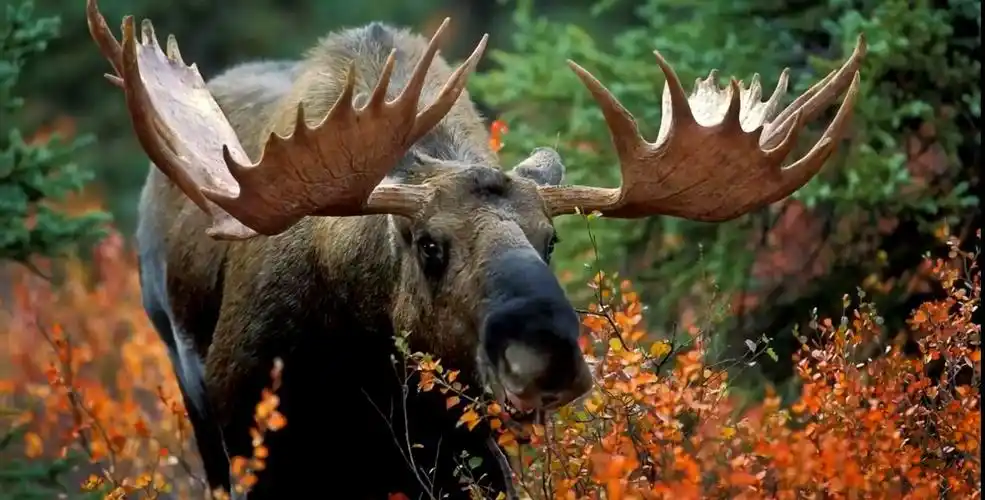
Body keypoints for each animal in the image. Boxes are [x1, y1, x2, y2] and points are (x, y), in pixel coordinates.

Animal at [84, 0, 864, 497]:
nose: (546, 354)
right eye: (429, 245)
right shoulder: (247, 433)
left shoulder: (475, 457)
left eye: (551, 241)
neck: (364, 370)